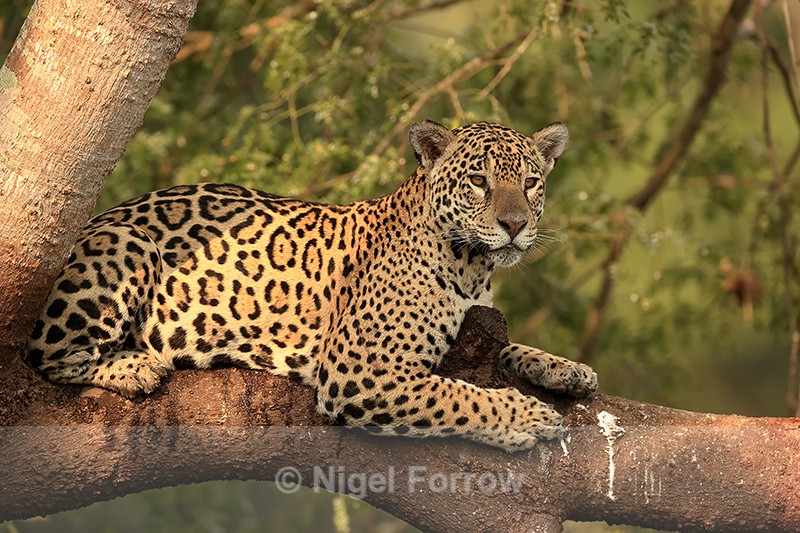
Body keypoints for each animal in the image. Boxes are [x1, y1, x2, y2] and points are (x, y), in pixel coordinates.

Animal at [24, 120, 597, 451]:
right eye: (479, 181)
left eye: (531, 183)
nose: (515, 224)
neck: (471, 265)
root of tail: (94, 219)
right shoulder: (362, 369)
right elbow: (457, 395)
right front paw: (528, 416)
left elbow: (507, 348)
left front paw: (568, 370)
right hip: (128, 243)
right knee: (46, 352)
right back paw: (135, 365)